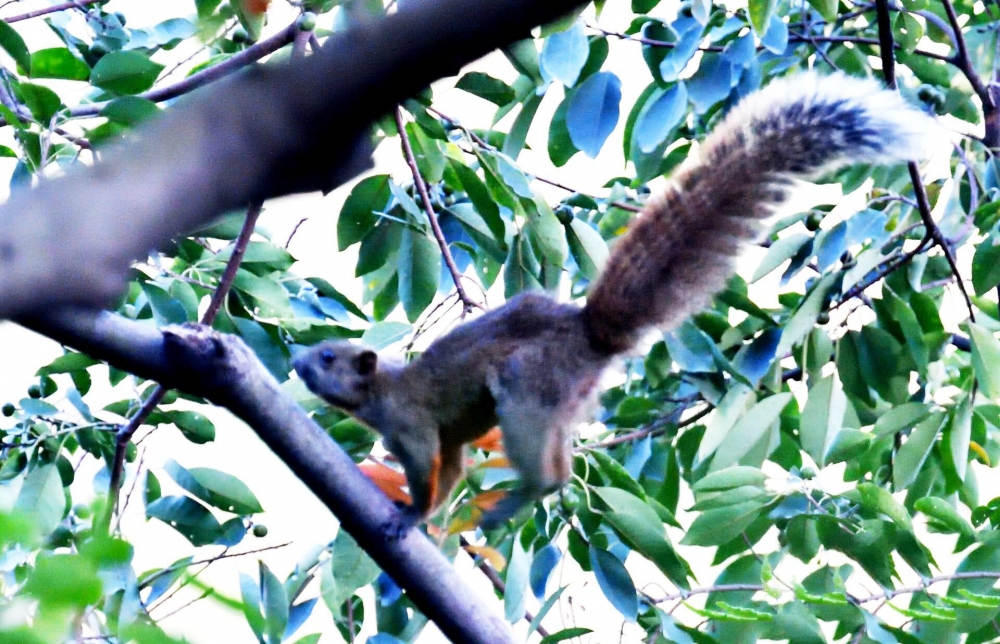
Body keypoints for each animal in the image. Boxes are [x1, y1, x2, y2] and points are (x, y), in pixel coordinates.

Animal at [292, 71, 936, 532]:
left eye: (327, 357)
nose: (296, 363)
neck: (381, 391)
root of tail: (588, 334)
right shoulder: (442, 442)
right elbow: (450, 471)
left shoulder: (417, 430)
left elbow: (430, 476)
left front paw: (412, 516)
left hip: (527, 389)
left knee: (553, 474)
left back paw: (520, 499)